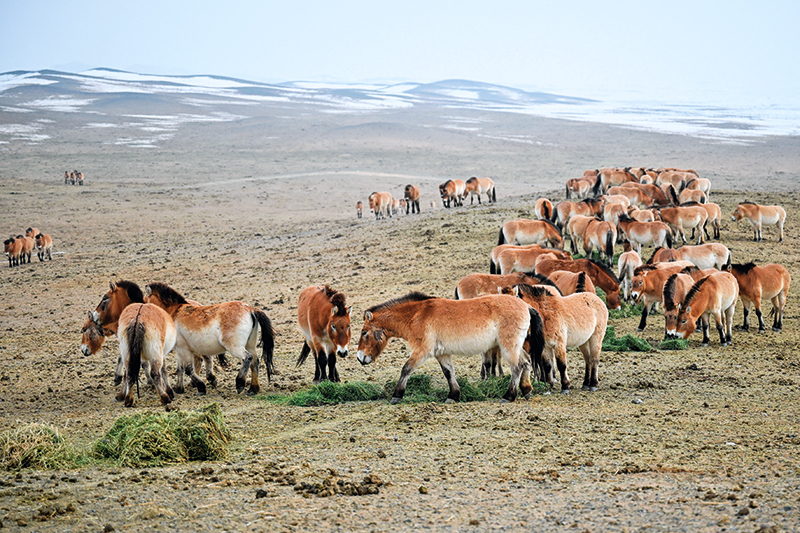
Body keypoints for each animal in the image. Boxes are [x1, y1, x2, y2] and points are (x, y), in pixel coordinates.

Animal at [144, 282, 276, 395]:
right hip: (250, 345)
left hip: (235, 347)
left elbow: (188, 369)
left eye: (145, 301)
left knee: (247, 358)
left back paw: (239, 384)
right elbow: (180, 368)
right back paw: (253, 389)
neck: (175, 312)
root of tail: (250, 309)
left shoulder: (183, 349)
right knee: (254, 362)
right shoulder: (181, 350)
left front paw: (201, 387)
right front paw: (179, 388)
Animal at [356, 292, 545, 404]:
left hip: (508, 346)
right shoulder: (442, 354)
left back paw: (509, 396)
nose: (359, 357)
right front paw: (453, 396)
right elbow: (448, 373)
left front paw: (396, 395)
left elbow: (406, 369)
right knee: (526, 362)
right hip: (514, 346)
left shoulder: (422, 351)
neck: (417, 315)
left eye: (364, 332)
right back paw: (526, 390)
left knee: (517, 367)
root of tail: (526, 306)